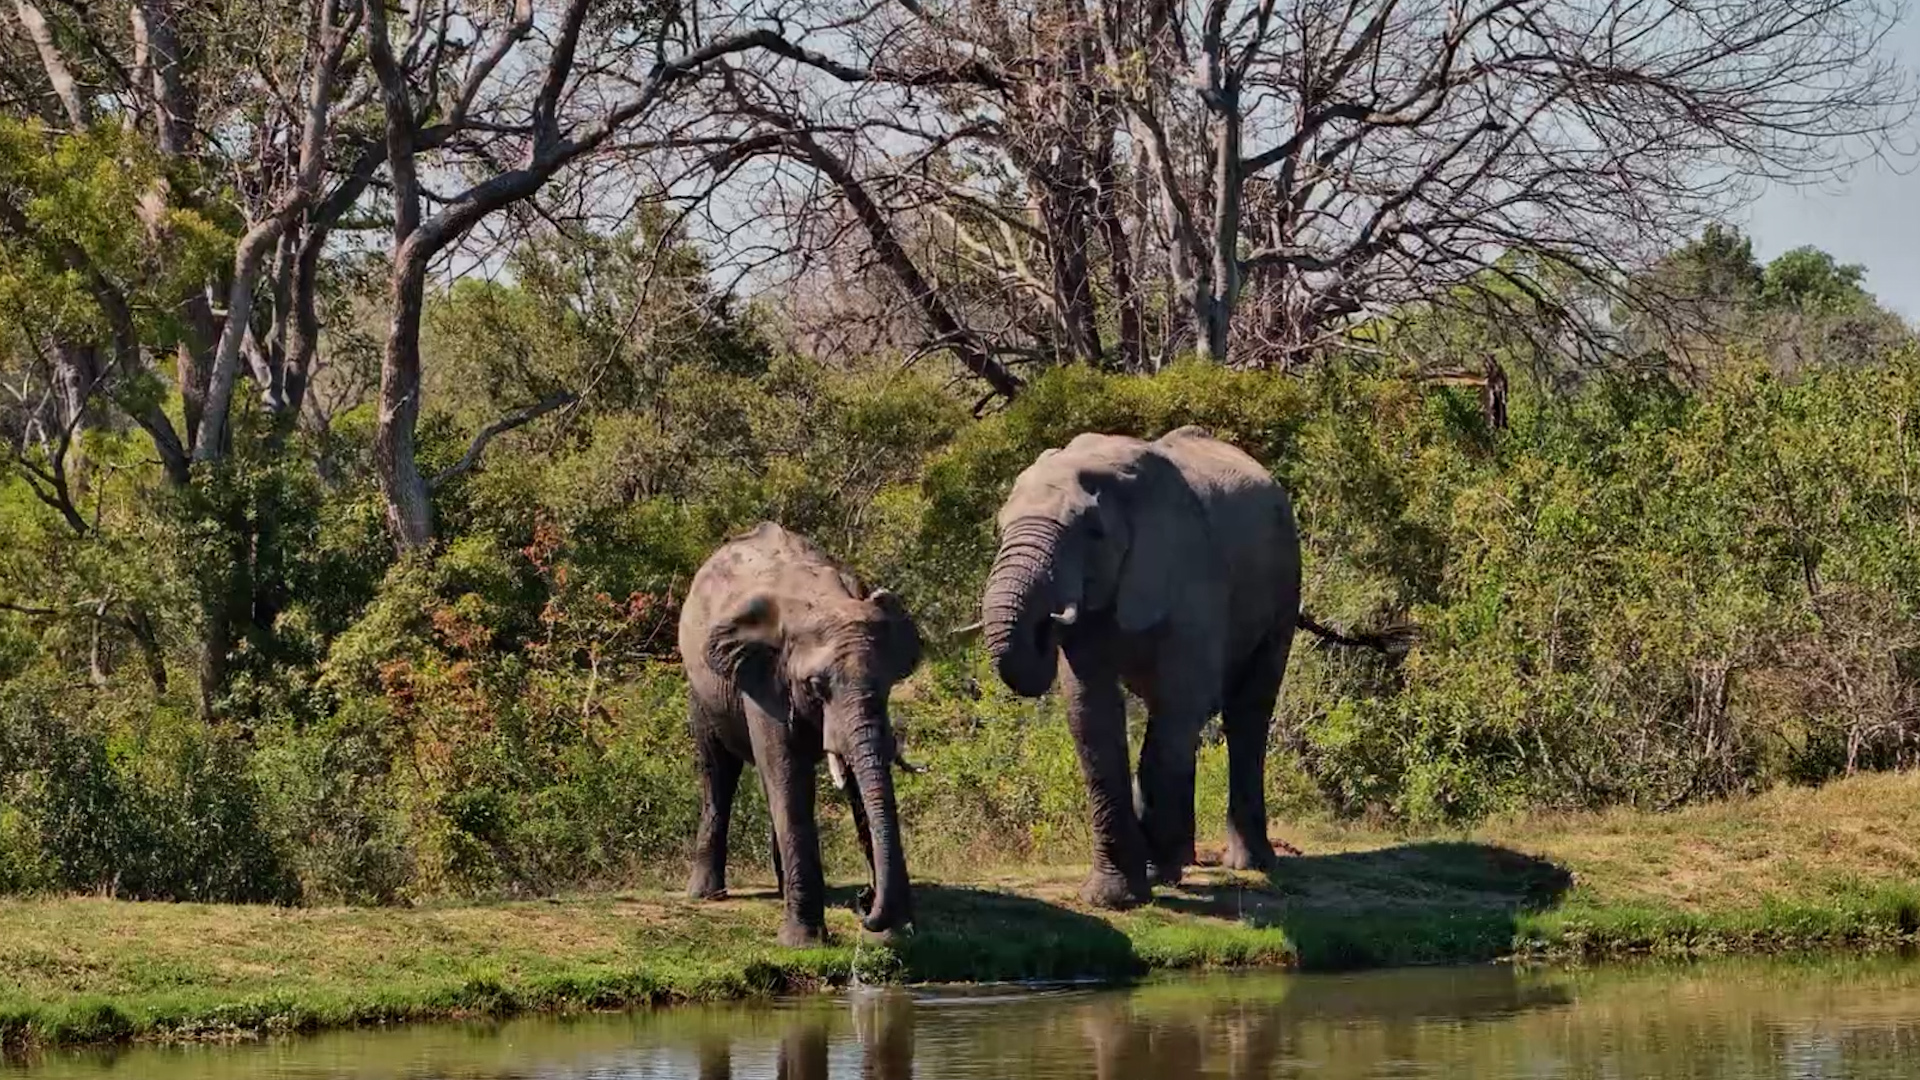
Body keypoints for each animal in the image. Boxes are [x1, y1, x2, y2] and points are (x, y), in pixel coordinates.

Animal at [679, 521, 922, 946]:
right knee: (718, 771)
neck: (820, 600)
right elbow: (786, 773)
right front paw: (803, 943)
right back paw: (706, 895)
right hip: (703, 692)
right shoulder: (764, 680)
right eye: (814, 686)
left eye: (889, 683)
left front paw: (895, 934)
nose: (865, 903)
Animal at [980, 426, 1305, 909]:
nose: (1046, 623)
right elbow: (1091, 715)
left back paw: (1247, 865)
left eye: (1094, 533)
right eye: (1001, 528)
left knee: (1246, 713)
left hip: (1284, 586)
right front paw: (1114, 896)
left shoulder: (1189, 572)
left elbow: (1181, 702)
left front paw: (1149, 874)